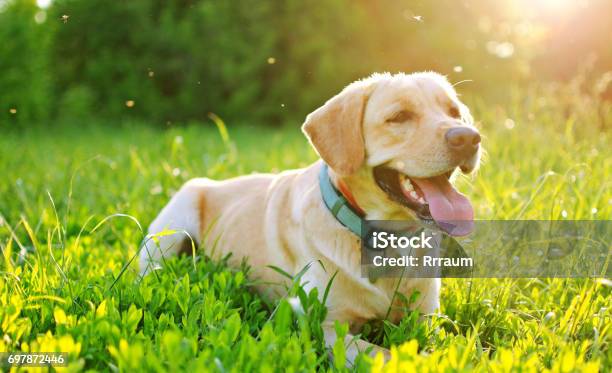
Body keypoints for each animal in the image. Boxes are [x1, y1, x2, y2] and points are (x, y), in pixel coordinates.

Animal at [140, 71, 482, 362]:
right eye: (399, 117)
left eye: (453, 111)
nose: (469, 137)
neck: (384, 240)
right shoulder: (326, 326)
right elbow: (386, 354)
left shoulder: (426, 318)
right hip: (172, 225)